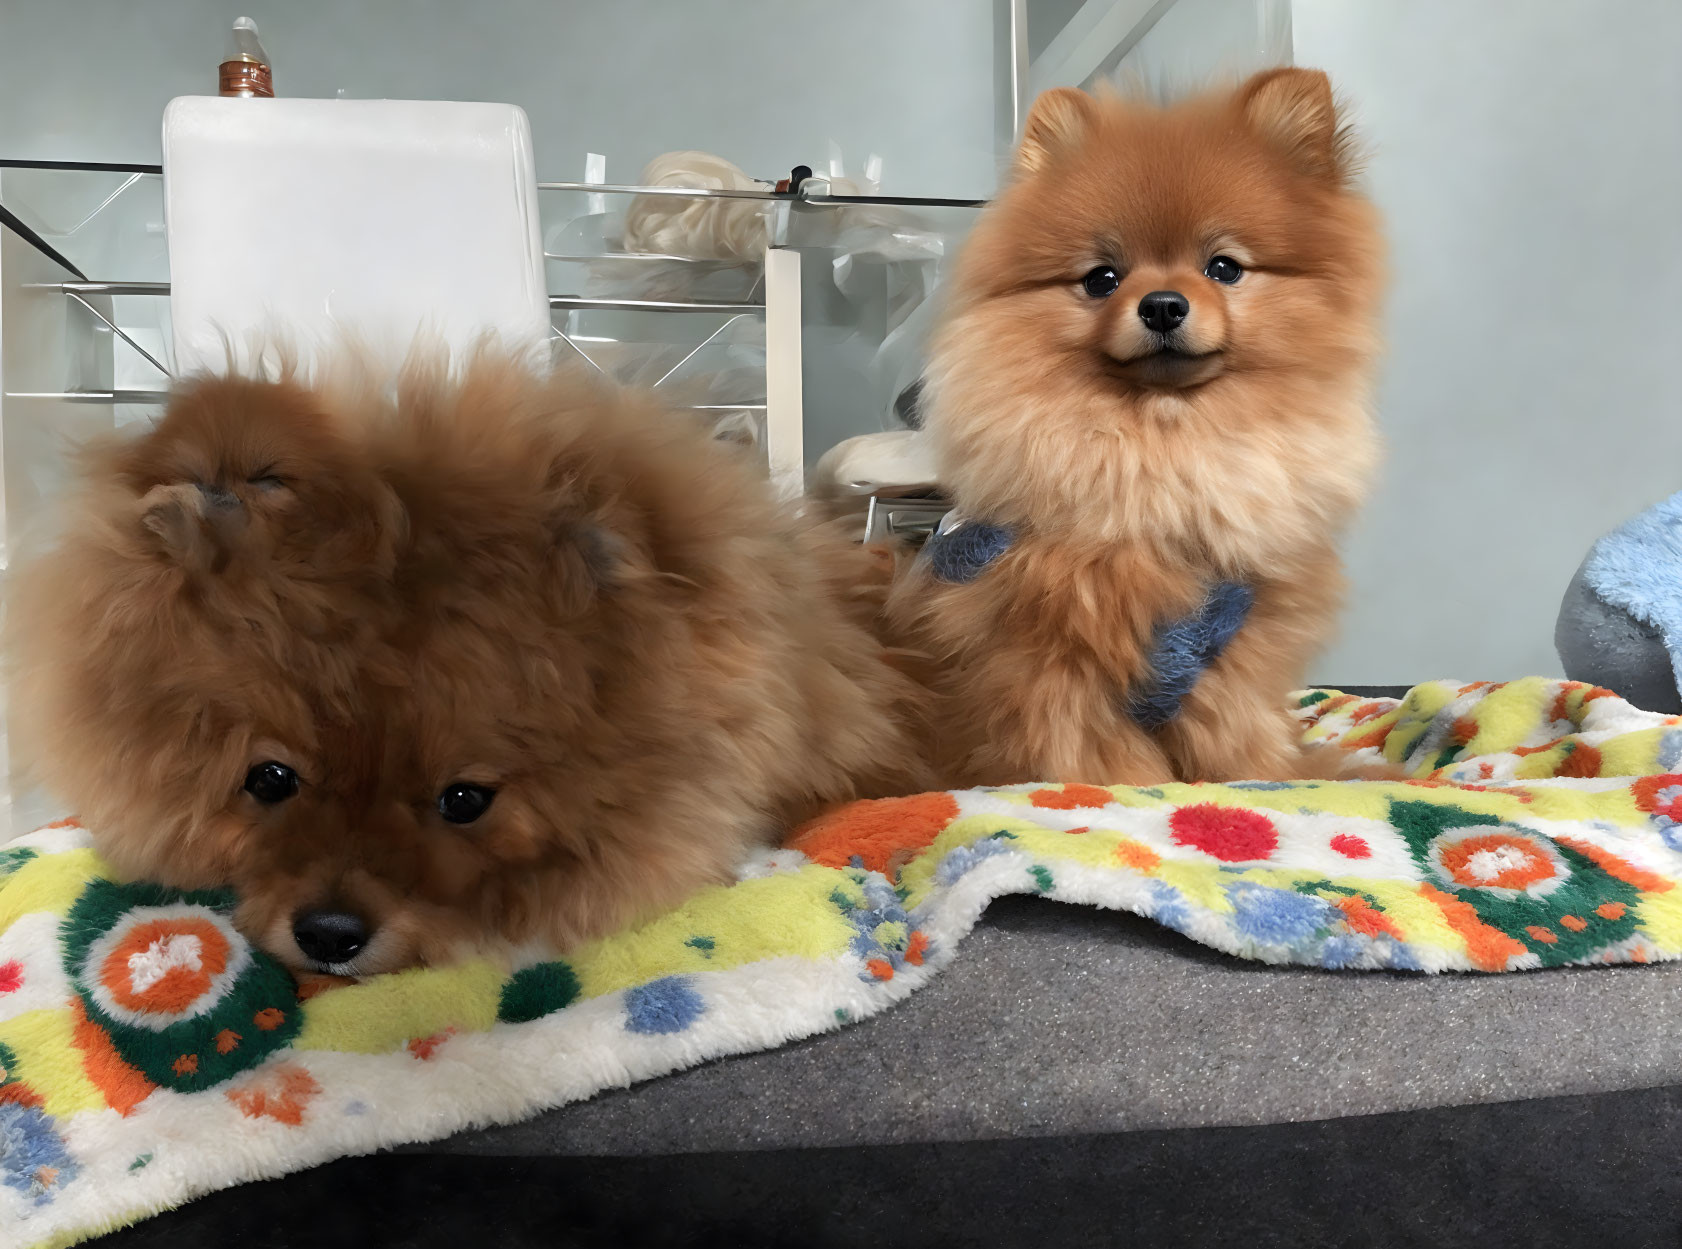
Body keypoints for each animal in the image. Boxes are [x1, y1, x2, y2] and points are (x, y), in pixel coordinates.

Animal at [888, 68, 1385, 786]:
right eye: (1102, 279)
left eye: (1224, 268)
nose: (1162, 304)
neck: (1164, 458)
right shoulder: (1051, 666)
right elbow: (1104, 763)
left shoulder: (1229, 663)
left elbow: (1242, 743)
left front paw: (1276, 778)